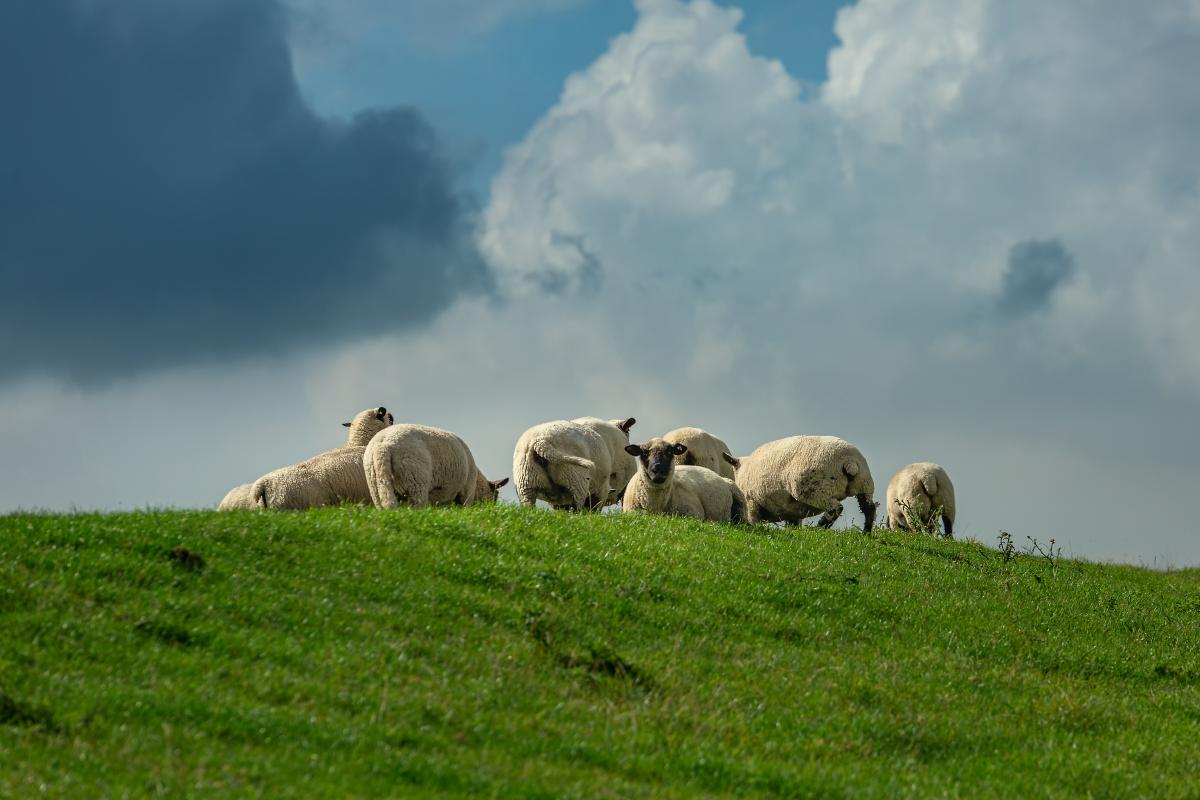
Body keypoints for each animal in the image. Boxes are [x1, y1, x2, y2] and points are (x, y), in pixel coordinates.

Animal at [363, 423, 507, 508]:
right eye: (495, 497)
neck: (478, 483)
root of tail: (383, 446)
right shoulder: (465, 494)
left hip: (376, 484)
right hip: (415, 481)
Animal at [725, 436, 876, 530]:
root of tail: (850, 461)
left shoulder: (752, 503)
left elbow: (754, 520)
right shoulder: (792, 512)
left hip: (816, 490)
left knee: (836, 508)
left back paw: (819, 528)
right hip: (864, 485)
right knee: (869, 509)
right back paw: (866, 532)